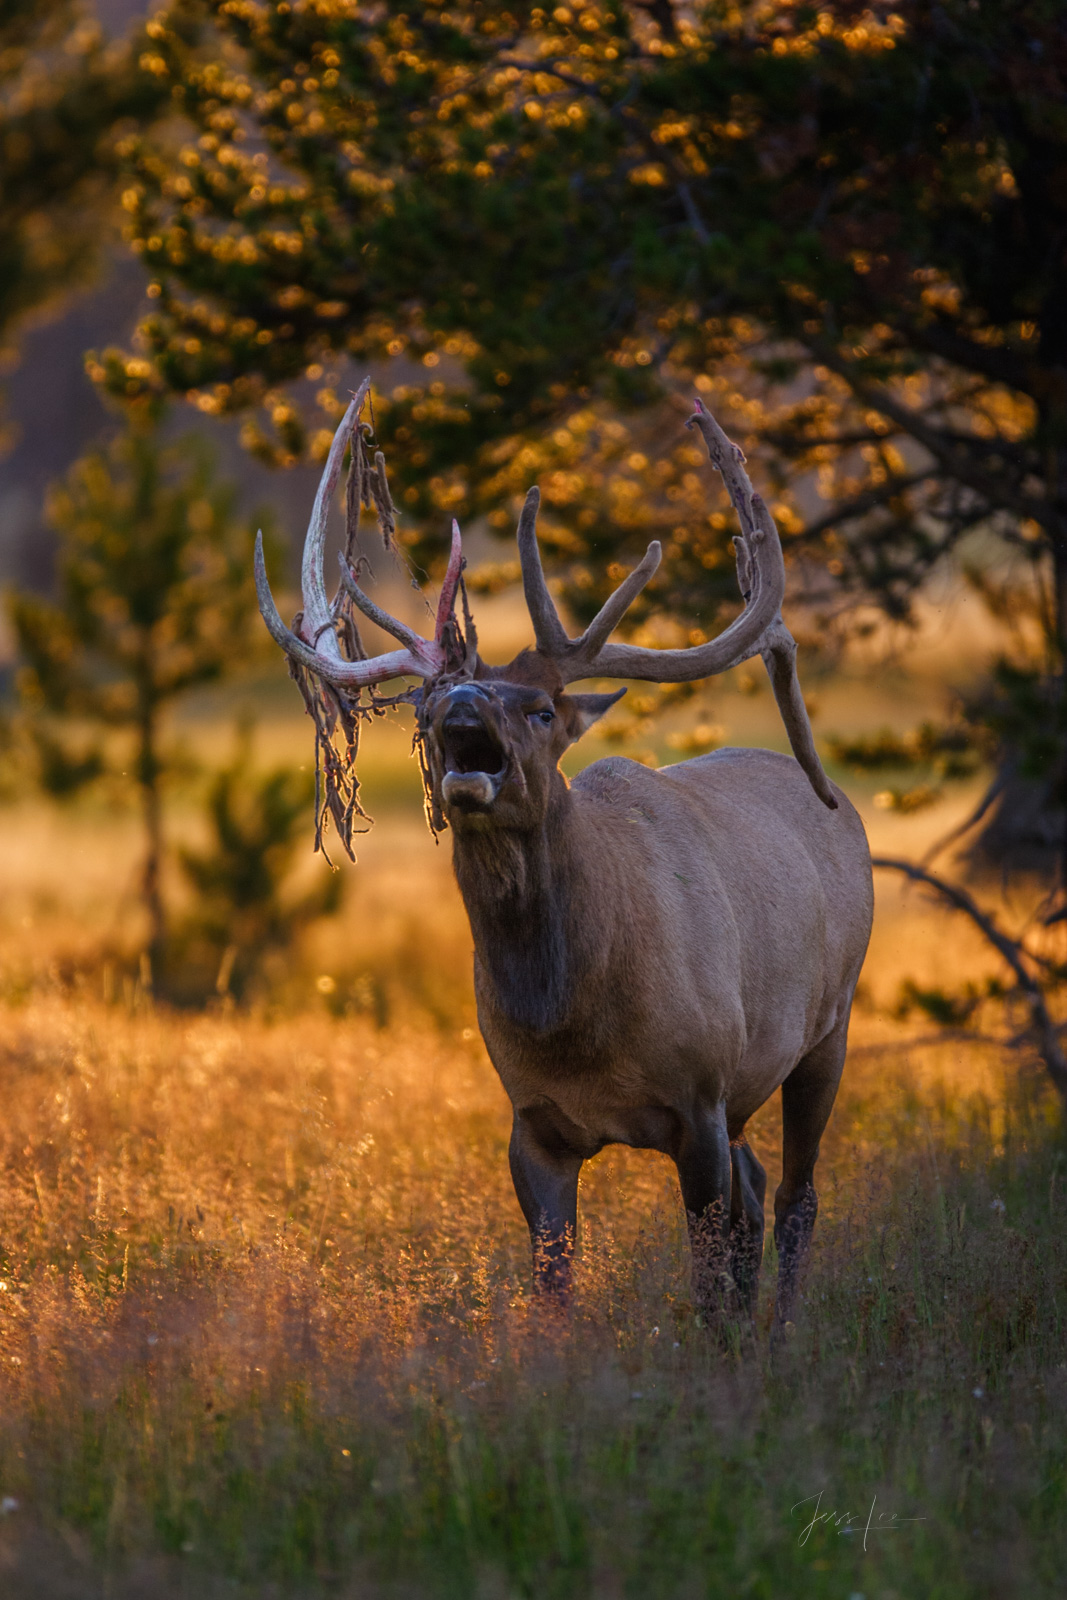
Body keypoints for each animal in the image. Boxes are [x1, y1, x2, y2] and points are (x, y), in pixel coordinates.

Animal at [254, 380, 870, 1331]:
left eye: (541, 708)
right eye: (426, 705)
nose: (459, 702)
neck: (573, 1020)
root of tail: (846, 810)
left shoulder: (700, 1096)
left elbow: (707, 1275)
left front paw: (726, 1354)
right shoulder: (532, 1121)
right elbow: (553, 1286)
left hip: (827, 1026)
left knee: (795, 1195)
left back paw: (782, 1330)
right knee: (760, 1185)